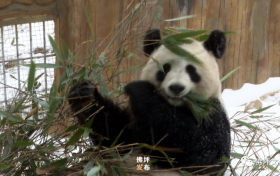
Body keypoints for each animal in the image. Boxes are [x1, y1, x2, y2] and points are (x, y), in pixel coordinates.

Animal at [67, 28, 230, 175]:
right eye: (165, 68)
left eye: (191, 70)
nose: (176, 87)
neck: (175, 107)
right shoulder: (133, 129)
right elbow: (115, 138)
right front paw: (84, 98)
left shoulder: (213, 114)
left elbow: (202, 153)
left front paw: (138, 90)